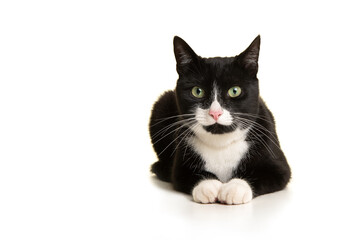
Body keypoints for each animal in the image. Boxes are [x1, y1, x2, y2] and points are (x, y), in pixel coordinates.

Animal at [148, 35, 292, 204]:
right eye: (197, 91)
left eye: (235, 91)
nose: (215, 113)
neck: (221, 144)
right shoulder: (181, 165)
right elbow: (185, 174)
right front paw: (208, 185)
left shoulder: (278, 164)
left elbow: (267, 173)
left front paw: (235, 188)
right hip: (162, 104)